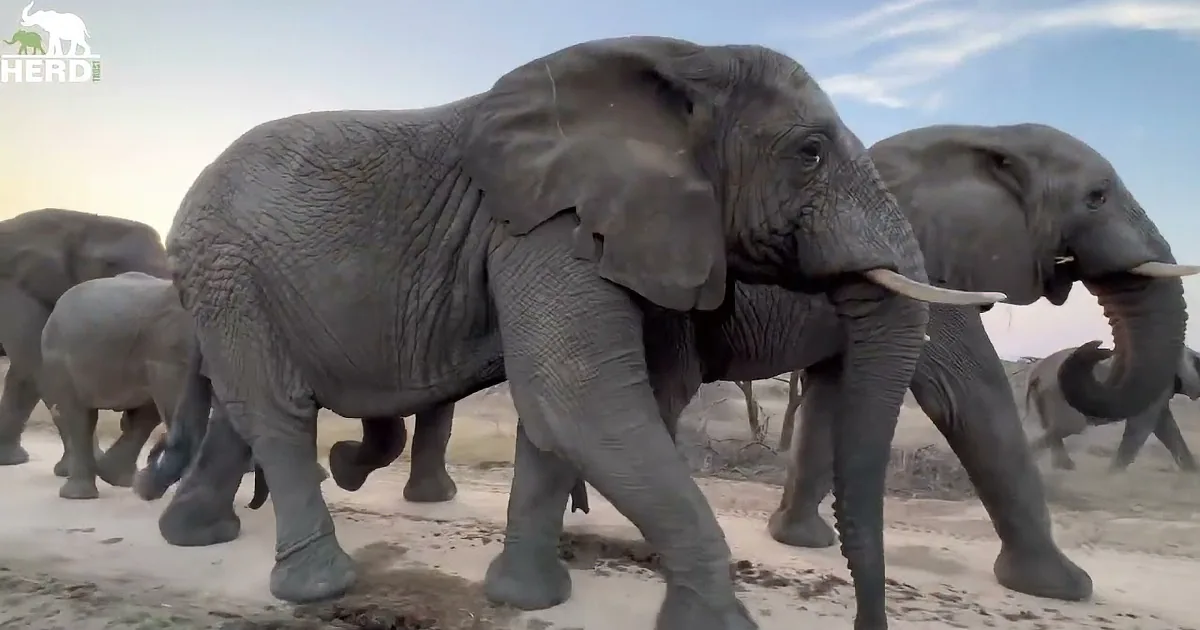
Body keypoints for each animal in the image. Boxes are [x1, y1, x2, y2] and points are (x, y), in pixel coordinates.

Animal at [129, 35, 1005, 630]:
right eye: (812, 151)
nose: (866, 623)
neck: (687, 64)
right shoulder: (550, 228)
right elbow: (579, 399)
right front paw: (715, 627)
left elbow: (559, 419)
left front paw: (530, 599)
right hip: (228, 268)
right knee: (277, 411)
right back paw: (319, 582)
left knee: (245, 413)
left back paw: (197, 535)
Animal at [1025, 344, 1200, 472]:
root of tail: (1035, 373)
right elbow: (1143, 426)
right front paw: (1112, 475)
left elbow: (1166, 427)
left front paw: (1192, 473)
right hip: (1059, 394)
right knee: (1069, 427)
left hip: (1045, 396)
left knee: (1052, 428)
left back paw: (1064, 467)